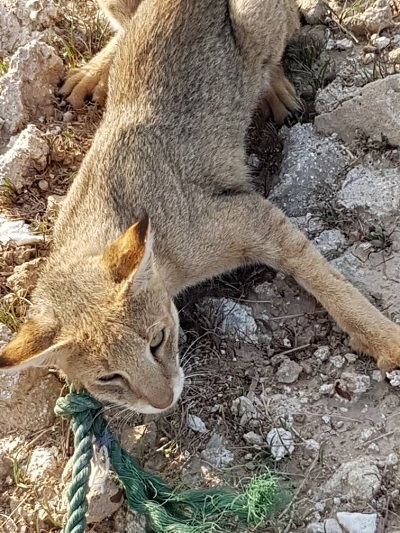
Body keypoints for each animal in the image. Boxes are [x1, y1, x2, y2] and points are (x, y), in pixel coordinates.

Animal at [0, 0, 400, 414]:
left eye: (157, 340)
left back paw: (273, 88)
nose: (163, 401)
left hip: (255, 23)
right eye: (109, 378)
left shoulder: (252, 218)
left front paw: (386, 339)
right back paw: (94, 73)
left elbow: (327, 280)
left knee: (285, 29)